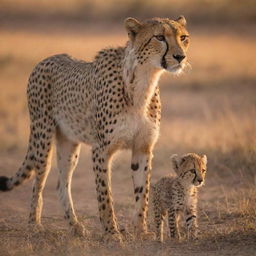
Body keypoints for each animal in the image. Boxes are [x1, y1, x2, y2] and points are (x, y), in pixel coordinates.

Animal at [0, 16, 190, 242]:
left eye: (183, 37)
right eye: (159, 37)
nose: (180, 57)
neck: (143, 80)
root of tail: (46, 59)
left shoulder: (143, 148)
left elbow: (142, 192)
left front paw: (141, 230)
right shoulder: (101, 149)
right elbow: (104, 194)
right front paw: (111, 233)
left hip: (69, 143)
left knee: (61, 184)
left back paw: (75, 226)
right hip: (42, 137)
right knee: (39, 181)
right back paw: (34, 224)